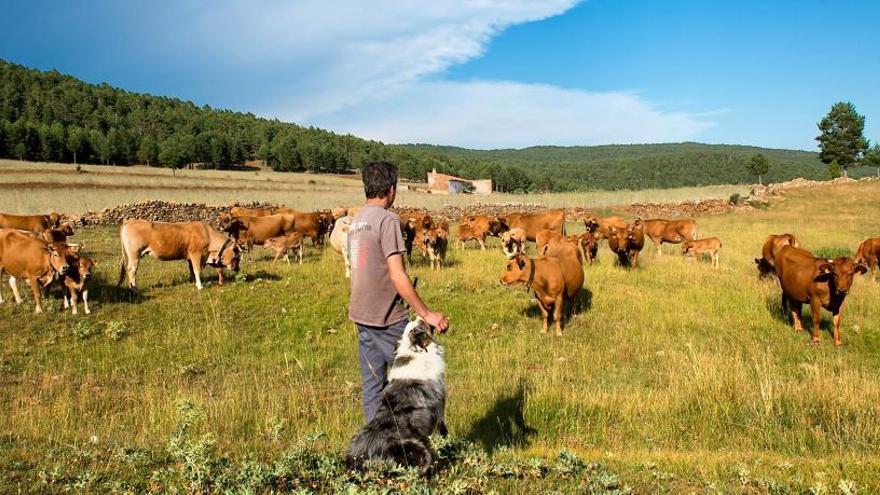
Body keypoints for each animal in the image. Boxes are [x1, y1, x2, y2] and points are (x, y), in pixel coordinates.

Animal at [346, 320, 446, 474]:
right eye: (422, 325)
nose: (419, 317)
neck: (413, 351)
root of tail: (357, 458)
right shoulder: (438, 411)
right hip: (411, 447)